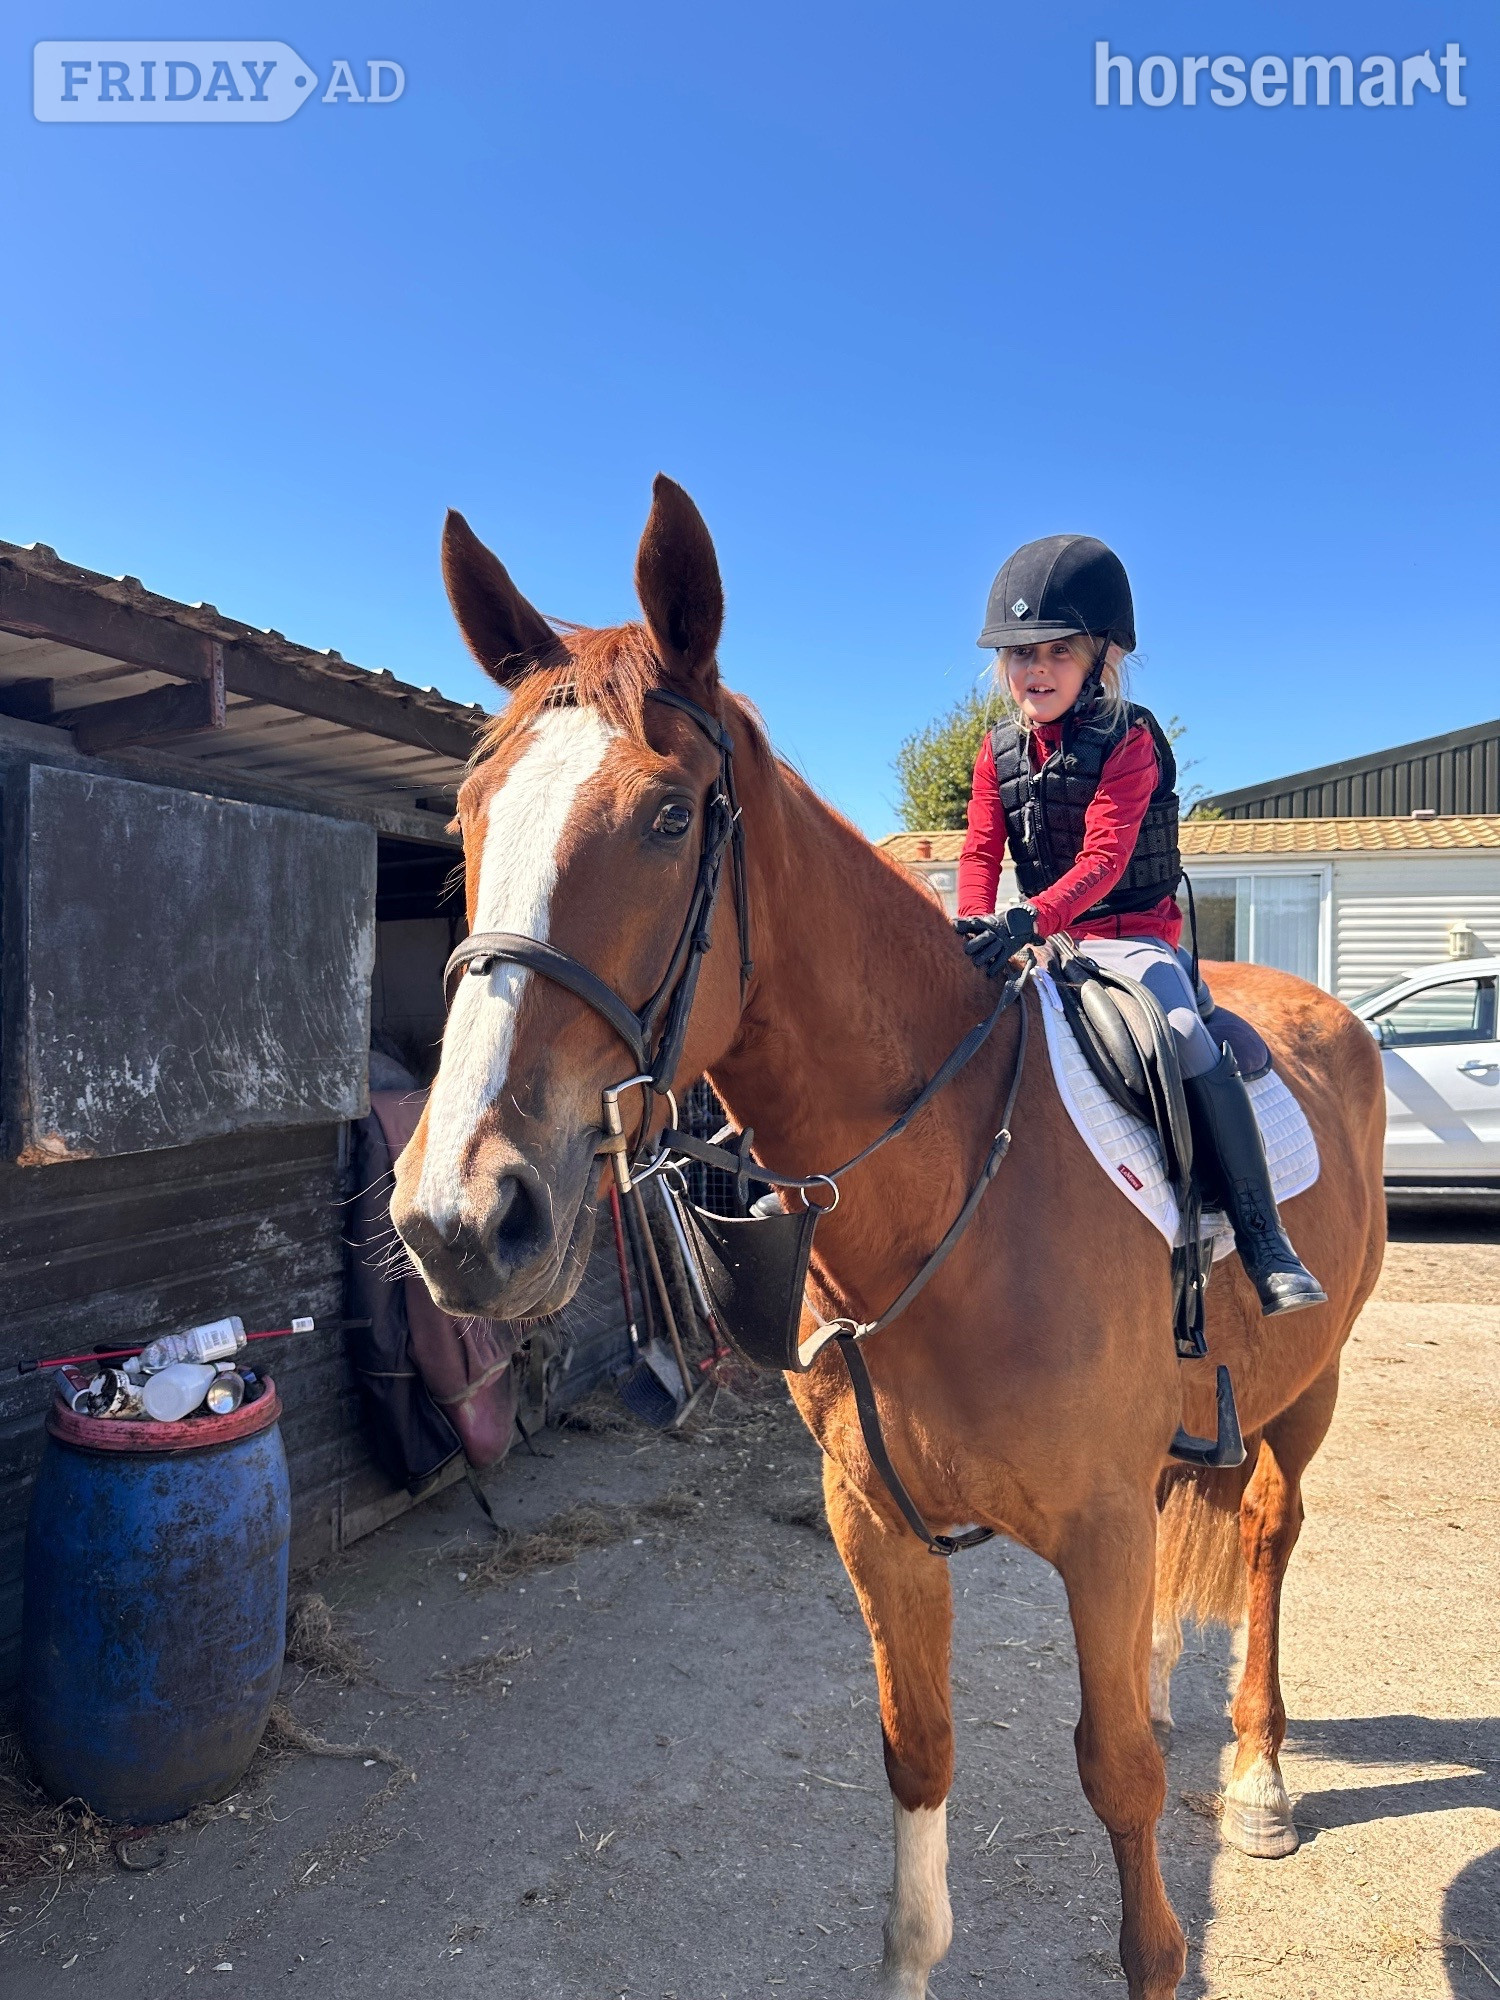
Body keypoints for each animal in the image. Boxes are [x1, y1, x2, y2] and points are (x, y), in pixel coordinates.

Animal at [390, 477, 1387, 1999]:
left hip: (1306, 1391)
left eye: (669, 816)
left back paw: (1261, 1775)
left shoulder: (1097, 1529)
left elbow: (1121, 1788)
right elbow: (918, 1764)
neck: (949, 1195)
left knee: (1270, 1538)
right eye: (468, 813)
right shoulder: (881, 1530)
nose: (459, 1213)